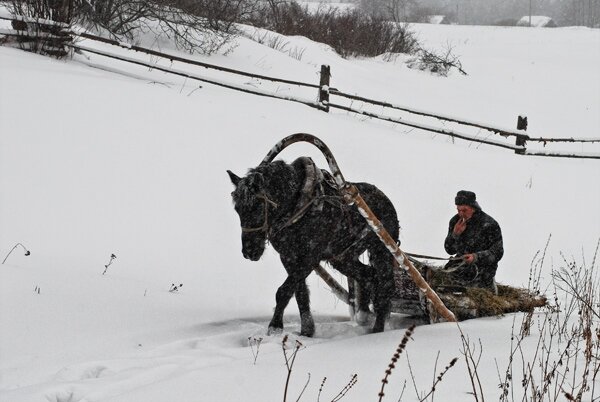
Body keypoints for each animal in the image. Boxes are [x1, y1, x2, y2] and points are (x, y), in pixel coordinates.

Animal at [227, 157, 400, 336]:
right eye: (237, 209)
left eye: (258, 206)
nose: (249, 251)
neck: (297, 208)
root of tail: (385, 199)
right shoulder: (288, 257)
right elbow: (299, 292)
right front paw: (307, 330)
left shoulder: (310, 257)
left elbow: (284, 291)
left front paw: (275, 327)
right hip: (342, 257)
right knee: (368, 275)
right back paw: (364, 314)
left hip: (382, 250)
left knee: (385, 285)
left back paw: (378, 328)